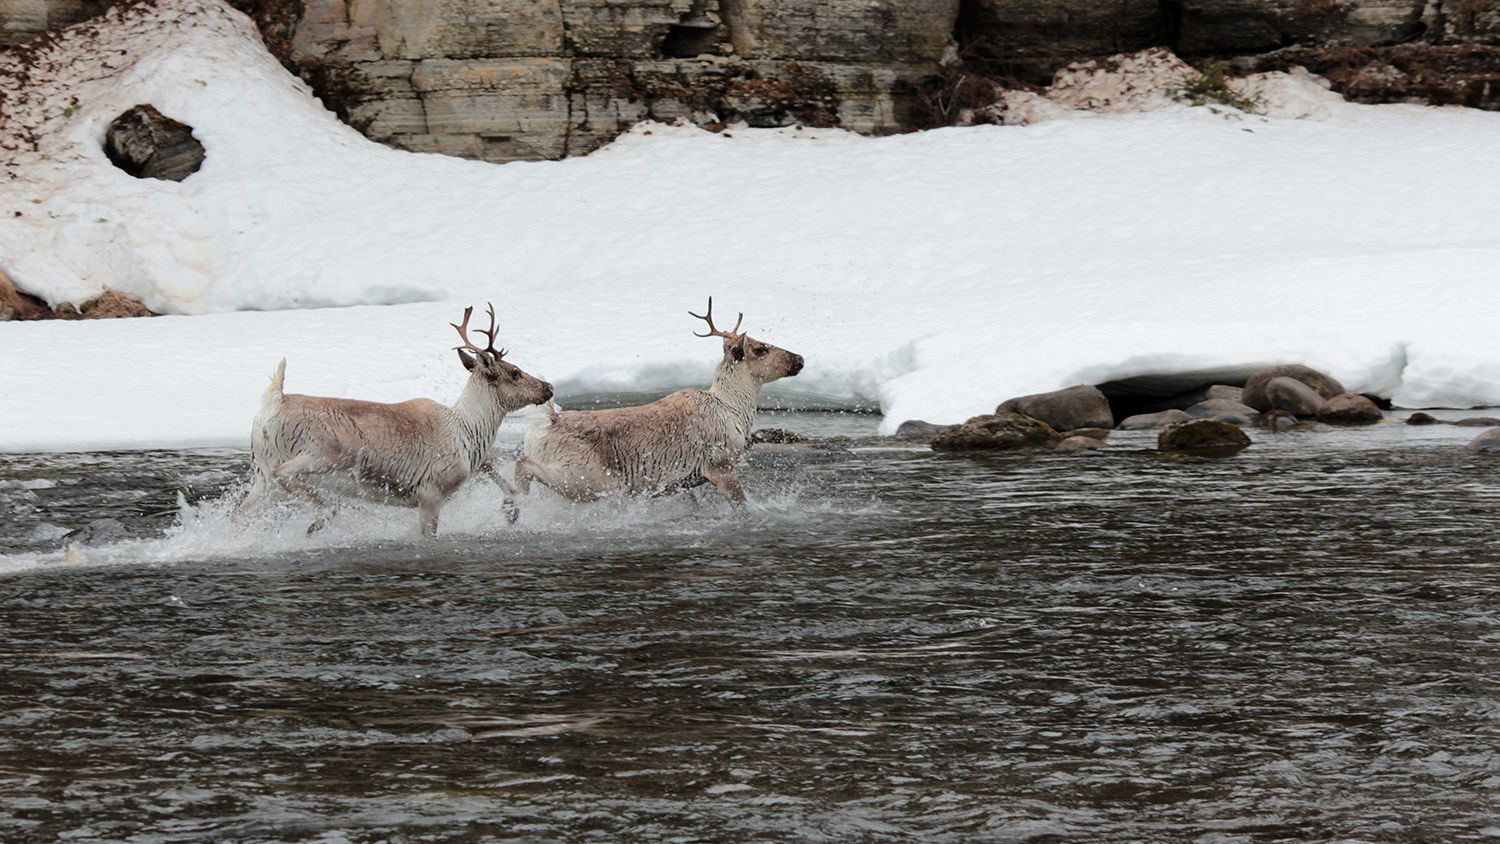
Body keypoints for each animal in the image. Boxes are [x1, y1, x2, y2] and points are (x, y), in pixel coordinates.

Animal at [232, 304, 553, 538]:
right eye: (514, 372)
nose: (548, 387)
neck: (470, 430)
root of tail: (272, 402)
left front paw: (512, 512)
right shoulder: (430, 494)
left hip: (262, 474)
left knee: (239, 514)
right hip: (322, 455)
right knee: (284, 473)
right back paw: (319, 521)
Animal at [513, 297, 803, 505]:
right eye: (760, 349)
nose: (799, 358)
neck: (734, 409)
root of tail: (547, 420)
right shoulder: (720, 464)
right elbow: (741, 506)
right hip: (588, 480)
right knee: (522, 466)